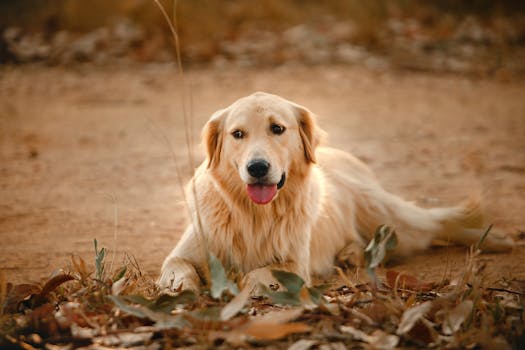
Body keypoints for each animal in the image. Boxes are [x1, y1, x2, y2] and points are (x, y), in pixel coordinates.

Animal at [158, 91, 512, 292]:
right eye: (238, 134)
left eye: (278, 128)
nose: (257, 167)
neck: (253, 213)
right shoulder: (187, 249)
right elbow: (176, 267)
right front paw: (179, 287)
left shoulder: (295, 265)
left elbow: (259, 272)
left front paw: (244, 283)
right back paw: (351, 253)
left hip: (385, 213)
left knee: (431, 224)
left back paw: (495, 239)